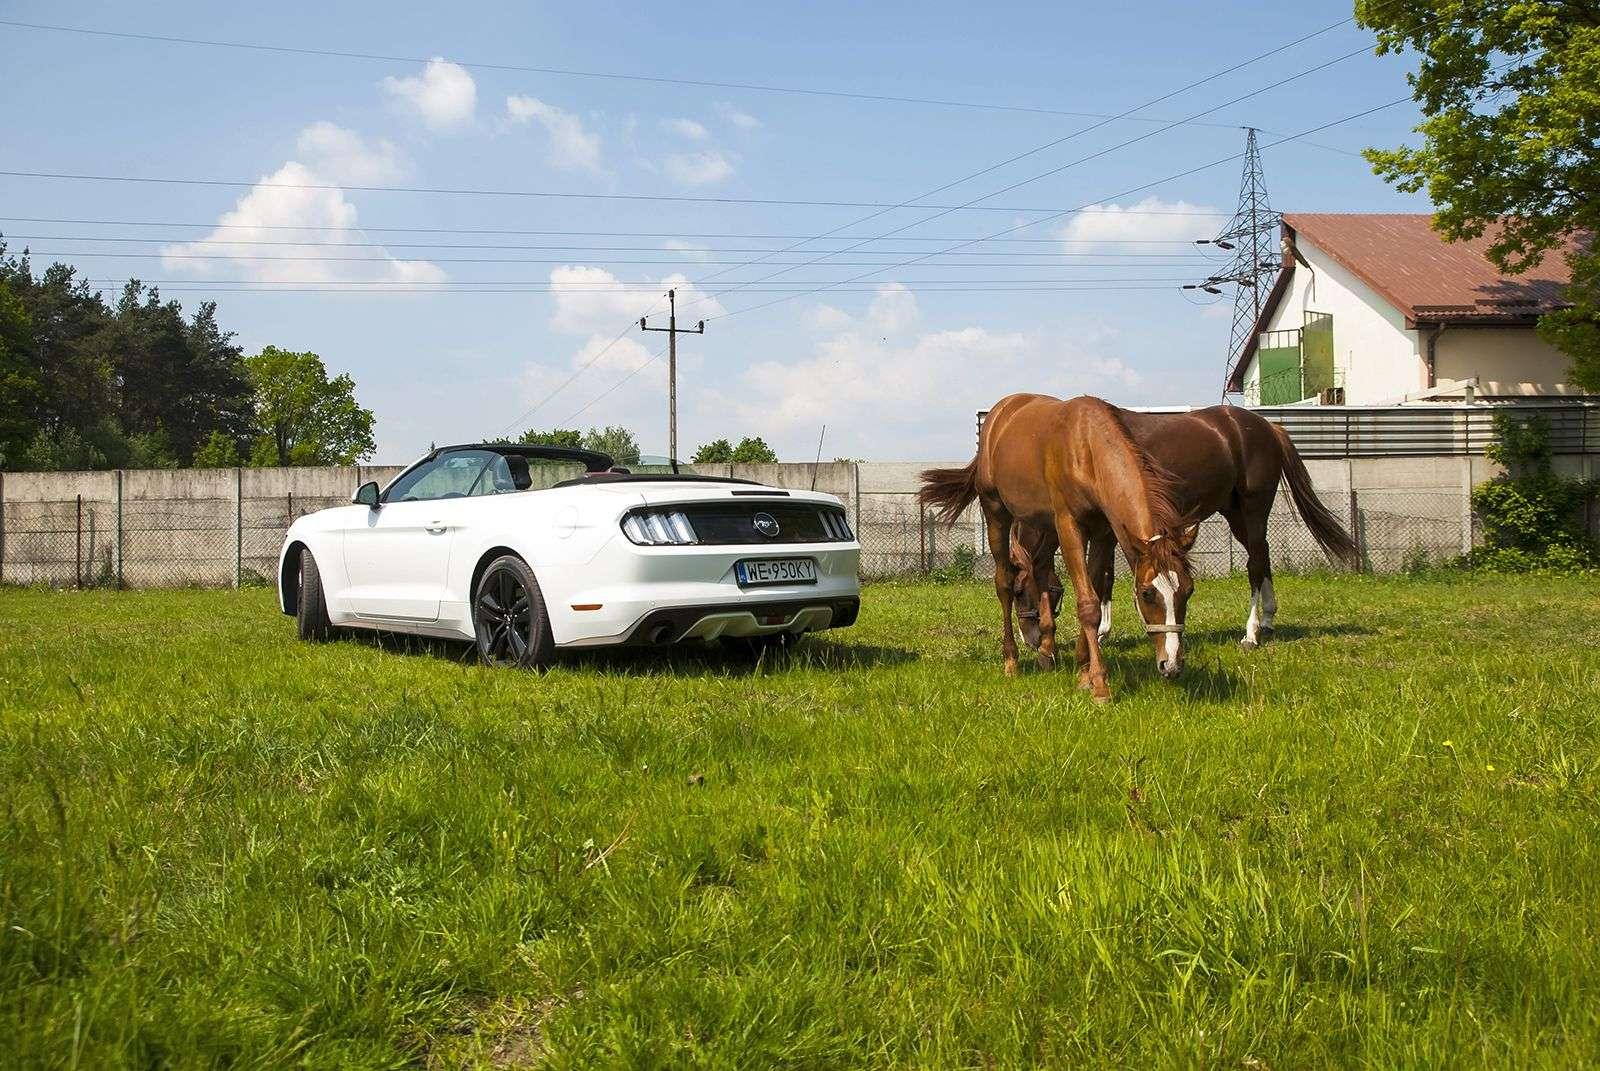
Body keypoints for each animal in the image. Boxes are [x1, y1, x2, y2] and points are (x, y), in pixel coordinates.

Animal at [918, 394, 1199, 703]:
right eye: (1148, 593)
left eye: (1188, 590)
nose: (1171, 664)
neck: (1086, 446)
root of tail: (1001, 411)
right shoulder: (1069, 526)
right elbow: (1088, 604)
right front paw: (1100, 684)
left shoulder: (1102, 534)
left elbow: (1094, 591)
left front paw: (1084, 672)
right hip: (996, 512)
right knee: (1004, 582)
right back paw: (1011, 661)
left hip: (1044, 524)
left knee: (1040, 570)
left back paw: (1045, 650)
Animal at [1007, 404, 1359, 652]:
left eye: (1020, 591)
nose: (1029, 640)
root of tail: (1268, 427)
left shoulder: (1110, 530)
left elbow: (1105, 576)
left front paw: (1103, 632)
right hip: (1235, 513)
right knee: (1263, 553)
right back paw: (1269, 619)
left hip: (1254, 507)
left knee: (1255, 563)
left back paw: (1251, 633)